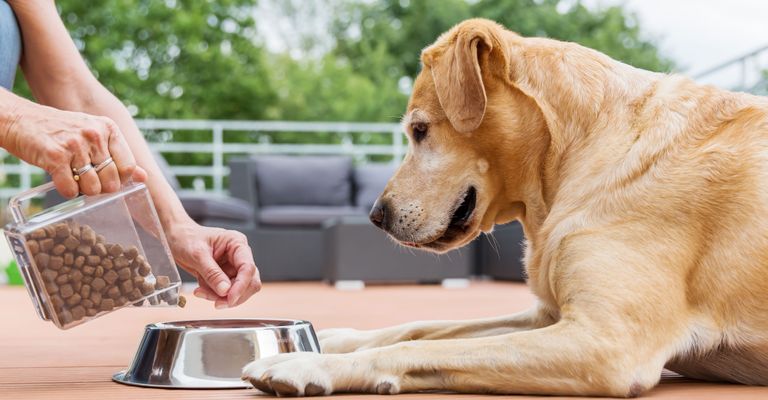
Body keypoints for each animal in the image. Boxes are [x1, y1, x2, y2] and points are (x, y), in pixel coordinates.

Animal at [243, 17, 768, 396]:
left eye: (419, 130)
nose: (376, 216)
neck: (577, 154)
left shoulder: (607, 342)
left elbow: (419, 349)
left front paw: (308, 361)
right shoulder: (547, 317)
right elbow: (420, 328)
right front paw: (333, 339)